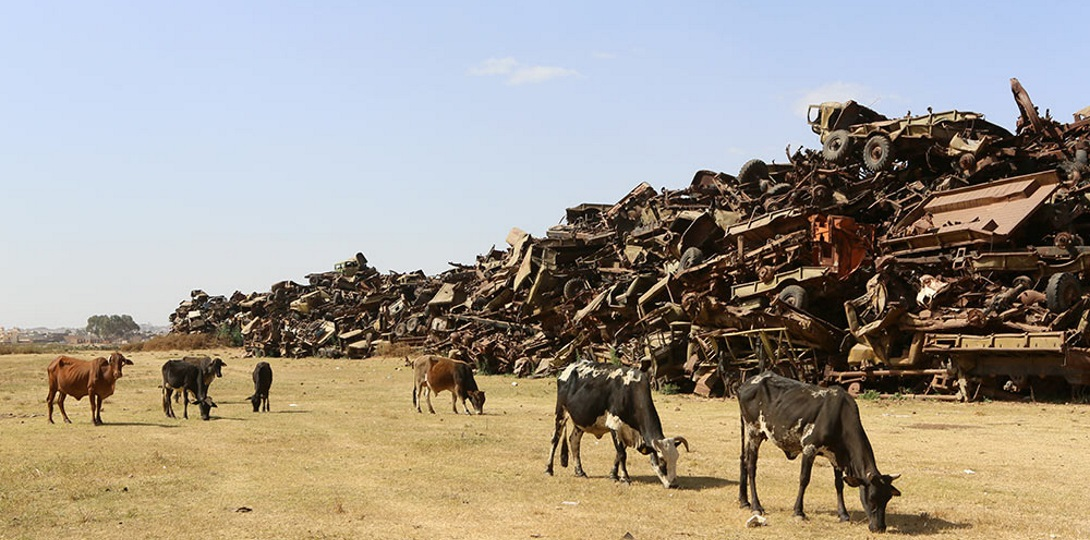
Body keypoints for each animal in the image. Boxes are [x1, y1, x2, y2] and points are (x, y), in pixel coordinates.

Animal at [545, 360, 688, 490]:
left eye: (676, 459)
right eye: (662, 460)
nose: (674, 484)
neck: (631, 392)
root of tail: (569, 367)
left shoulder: (625, 430)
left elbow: (619, 454)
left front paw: (613, 475)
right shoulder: (614, 425)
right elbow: (622, 455)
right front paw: (625, 478)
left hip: (581, 420)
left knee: (574, 441)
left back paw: (580, 471)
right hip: (561, 412)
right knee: (555, 439)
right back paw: (549, 469)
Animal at [741, 370, 902, 532]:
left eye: (888, 498)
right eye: (872, 497)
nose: (880, 527)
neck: (839, 418)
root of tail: (748, 382)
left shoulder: (837, 456)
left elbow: (839, 484)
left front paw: (843, 514)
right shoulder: (809, 448)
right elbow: (804, 479)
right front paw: (798, 512)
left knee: (744, 461)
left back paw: (744, 501)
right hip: (753, 432)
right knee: (751, 467)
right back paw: (756, 506)